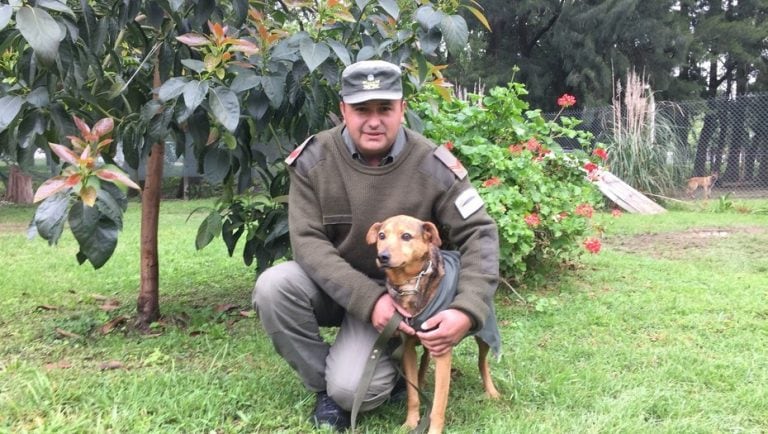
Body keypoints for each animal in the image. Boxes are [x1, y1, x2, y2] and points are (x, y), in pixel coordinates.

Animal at [368, 214, 500, 434]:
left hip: (483, 334)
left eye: (406, 236)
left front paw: (434, 429)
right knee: (424, 361)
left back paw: (492, 392)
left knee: (482, 362)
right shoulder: (408, 349)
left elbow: (438, 404)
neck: (410, 283)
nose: (382, 256)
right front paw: (411, 422)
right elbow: (412, 395)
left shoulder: (443, 350)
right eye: (381, 235)